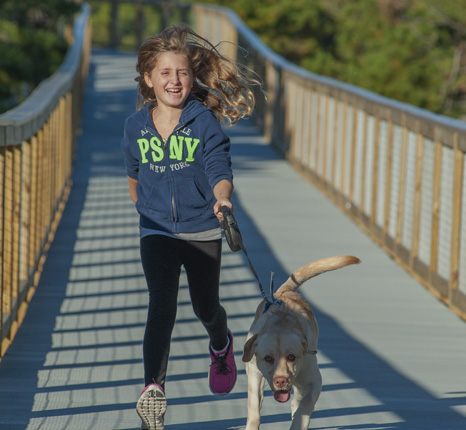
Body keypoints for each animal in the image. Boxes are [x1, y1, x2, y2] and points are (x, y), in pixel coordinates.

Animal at [242, 255, 362, 430]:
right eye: (268, 358)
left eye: (292, 357)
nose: (280, 381)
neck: (282, 322)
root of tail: (285, 291)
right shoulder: (254, 373)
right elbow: (254, 407)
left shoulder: (314, 381)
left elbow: (305, 406)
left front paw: (298, 422)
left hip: (301, 383)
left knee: (297, 401)